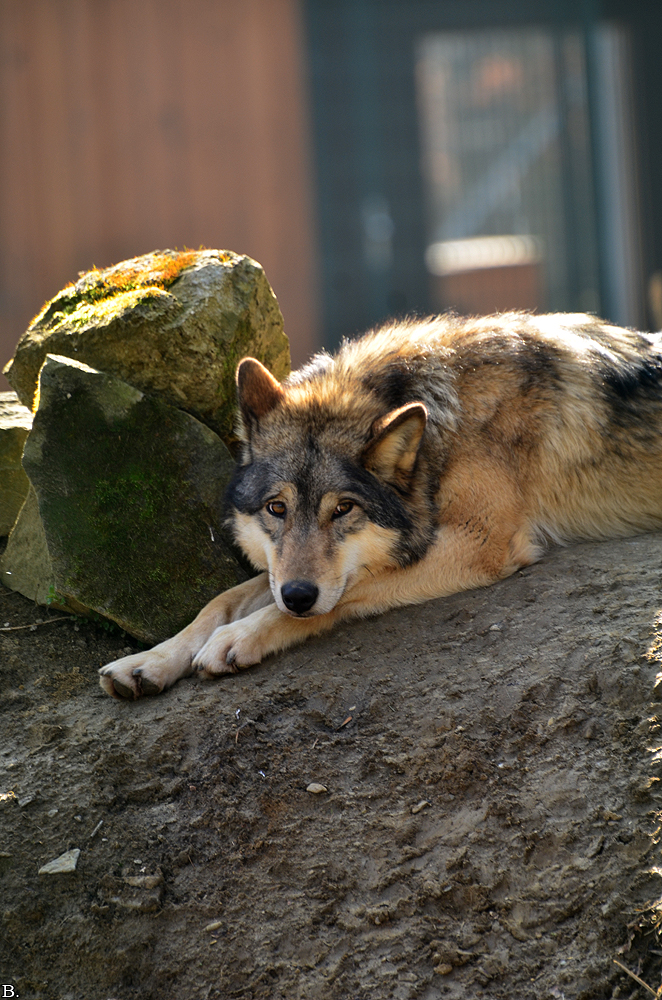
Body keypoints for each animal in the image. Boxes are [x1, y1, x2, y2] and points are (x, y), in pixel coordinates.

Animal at [99, 311, 662, 699]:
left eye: (343, 509)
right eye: (277, 509)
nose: (299, 596)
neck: (443, 428)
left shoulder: (479, 543)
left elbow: (344, 591)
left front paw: (236, 639)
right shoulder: (286, 571)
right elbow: (219, 601)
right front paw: (148, 661)